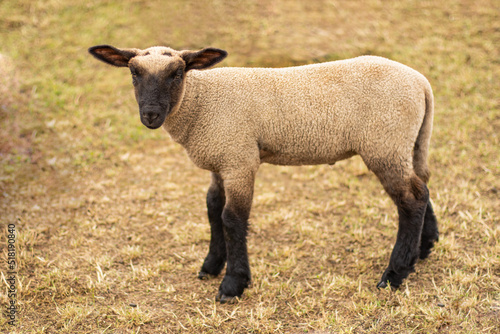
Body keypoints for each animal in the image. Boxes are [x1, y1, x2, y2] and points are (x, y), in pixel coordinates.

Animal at [89, 44, 438, 302]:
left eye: (177, 73)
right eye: (133, 72)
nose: (150, 115)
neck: (201, 102)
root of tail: (421, 83)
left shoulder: (239, 159)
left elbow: (232, 218)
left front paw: (233, 284)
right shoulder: (221, 160)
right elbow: (212, 208)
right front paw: (212, 265)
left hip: (384, 143)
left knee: (410, 199)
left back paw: (394, 274)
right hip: (408, 143)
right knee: (422, 188)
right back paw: (424, 249)